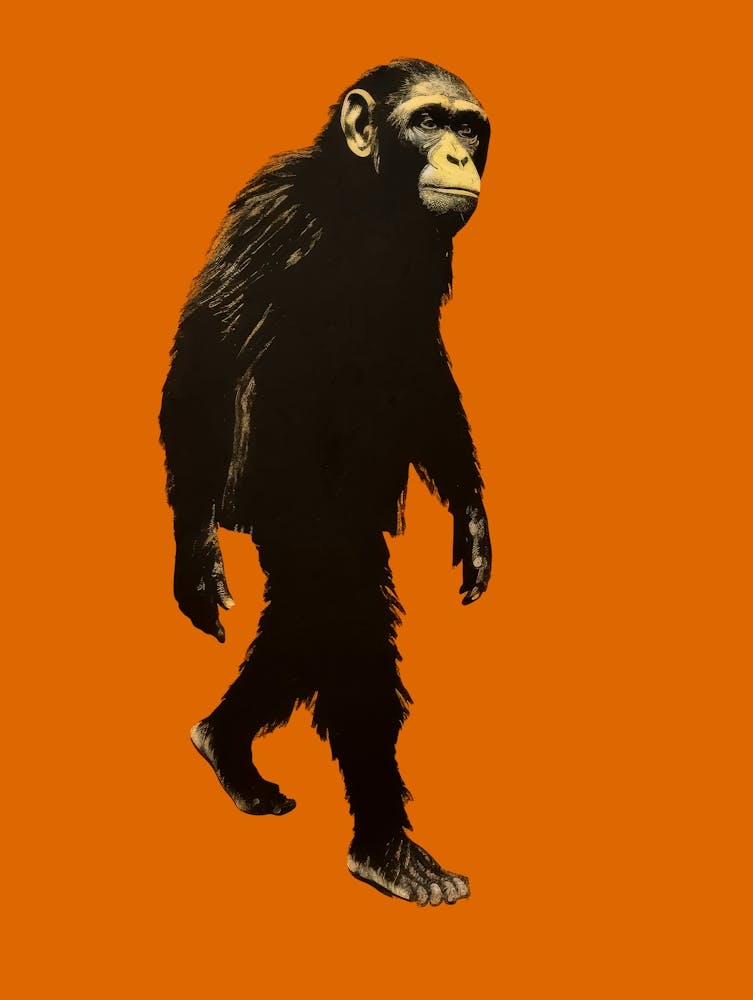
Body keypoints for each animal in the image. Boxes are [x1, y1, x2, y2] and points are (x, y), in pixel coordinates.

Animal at [159, 58, 492, 906]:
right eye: (427, 120)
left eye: (467, 126)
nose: (457, 154)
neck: (364, 201)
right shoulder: (274, 217)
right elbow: (208, 347)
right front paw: (195, 558)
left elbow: (419, 367)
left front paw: (473, 519)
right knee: (335, 612)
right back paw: (387, 848)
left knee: (308, 620)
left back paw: (226, 746)